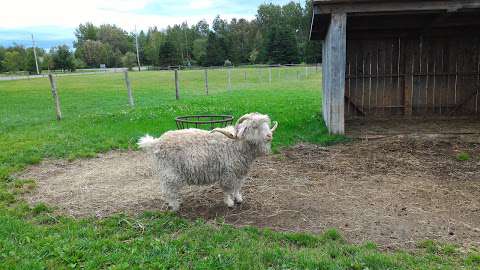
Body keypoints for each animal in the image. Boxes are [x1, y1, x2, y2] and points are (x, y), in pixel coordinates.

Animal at [137, 112, 278, 211]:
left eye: (266, 125)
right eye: (254, 126)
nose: (269, 136)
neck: (235, 144)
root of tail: (155, 142)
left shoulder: (240, 172)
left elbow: (238, 187)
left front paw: (238, 199)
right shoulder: (228, 173)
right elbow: (228, 189)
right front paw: (229, 203)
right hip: (169, 172)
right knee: (168, 190)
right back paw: (174, 206)